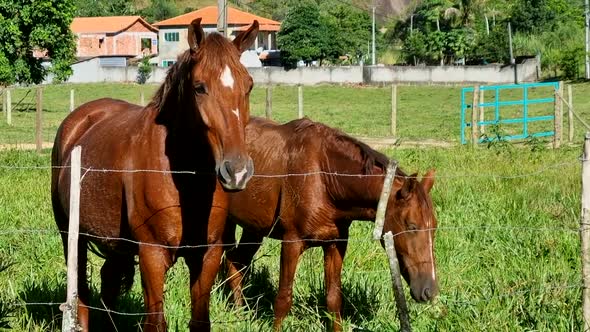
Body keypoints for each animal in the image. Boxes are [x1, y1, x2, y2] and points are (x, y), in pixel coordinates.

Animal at [52, 18, 260, 332]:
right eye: (200, 87)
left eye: (248, 86)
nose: (236, 171)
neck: (185, 180)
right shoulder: (152, 255)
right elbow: (156, 322)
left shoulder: (208, 254)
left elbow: (200, 321)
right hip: (70, 235)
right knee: (81, 297)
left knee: (108, 282)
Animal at [224, 116, 442, 330]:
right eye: (412, 226)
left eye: (434, 227)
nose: (429, 290)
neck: (324, 178)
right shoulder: (291, 243)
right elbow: (283, 300)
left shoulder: (335, 243)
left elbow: (333, 299)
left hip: (254, 228)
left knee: (236, 262)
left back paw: (240, 314)